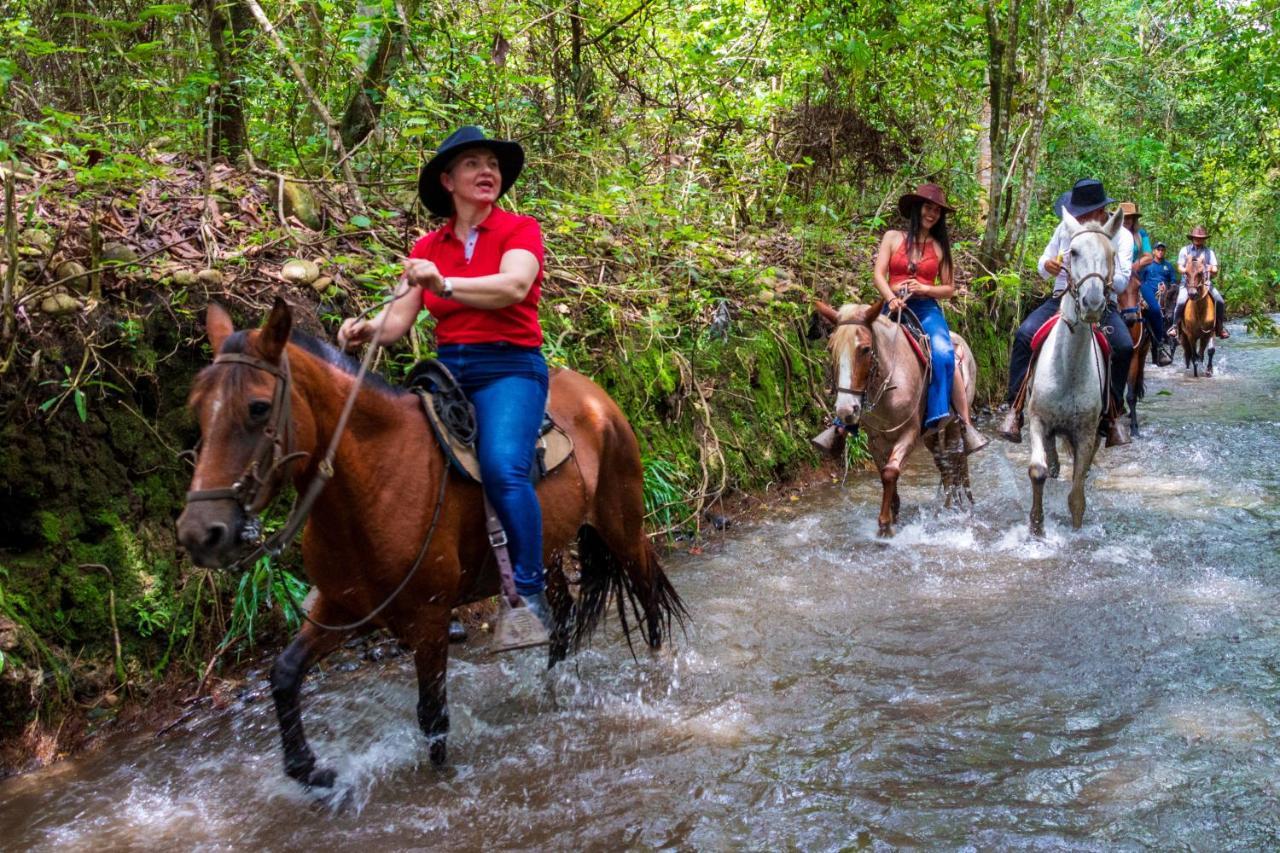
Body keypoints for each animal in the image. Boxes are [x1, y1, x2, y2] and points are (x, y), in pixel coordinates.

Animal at [177, 302, 691, 788]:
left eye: (258, 407)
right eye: (197, 405)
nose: (200, 533)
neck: (376, 480)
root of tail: (597, 396)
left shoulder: (429, 618)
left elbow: (432, 716)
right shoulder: (341, 608)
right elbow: (283, 674)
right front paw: (311, 770)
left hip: (621, 525)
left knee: (647, 596)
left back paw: (656, 669)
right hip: (546, 554)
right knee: (562, 618)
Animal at [814, 298, 972, 535]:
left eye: (865, 349)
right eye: (831, 348)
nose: (846, 410)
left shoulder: (910, 433)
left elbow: (890, 472)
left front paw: (885, 524)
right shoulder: (876, 439)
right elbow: (884, 474)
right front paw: (894, 512)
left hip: (953, 422)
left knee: (954, 461)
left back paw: (951, 509)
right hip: (931, 433)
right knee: (943, 464)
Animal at [1024, 206, 1116, 535]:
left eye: (1112, 254)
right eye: (1072, 252)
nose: (1092, 302)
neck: (1068, 372)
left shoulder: (1086, 433)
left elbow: (1077, 495)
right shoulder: (1037, 420)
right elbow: (1038, 471)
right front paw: (1036, 527)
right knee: (1051, 462)